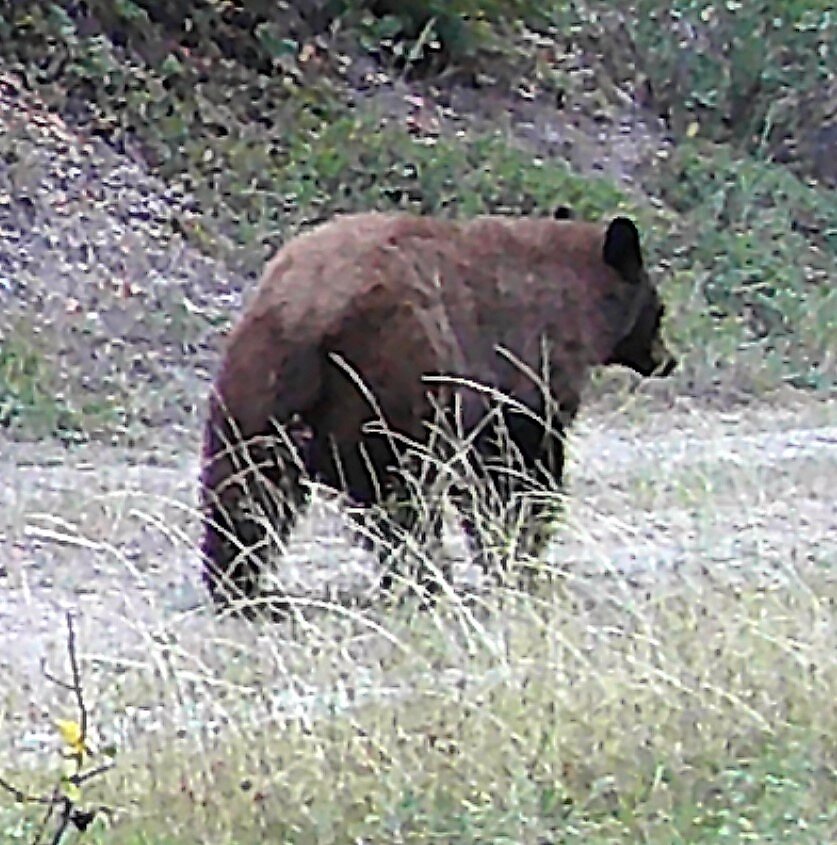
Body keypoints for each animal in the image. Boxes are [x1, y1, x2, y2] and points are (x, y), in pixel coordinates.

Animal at [199, 210, 676, 608]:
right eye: (660, 310)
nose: (668, 360)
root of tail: (306, 311)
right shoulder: (522, 373)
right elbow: (517, 469)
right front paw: (520, 553)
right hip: (390, 375)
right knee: (397, 493)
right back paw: (426, 578)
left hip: (259, 383)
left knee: (246, 486)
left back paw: (237, 582)